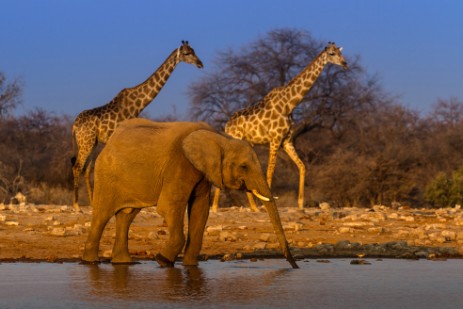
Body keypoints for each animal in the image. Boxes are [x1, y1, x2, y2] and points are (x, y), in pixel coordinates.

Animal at [72, 41, 203, 212]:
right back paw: (76, 205)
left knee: (86, 170)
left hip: (92, 143)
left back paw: (93, 203)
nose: (200, 64)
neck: (138, 104)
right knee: (77, 167)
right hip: (85, 142)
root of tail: (74, 125)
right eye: (187, 53)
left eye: (193, 50)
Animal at [82, 118, 300, 268]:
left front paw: (189, 266)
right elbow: (170, 206)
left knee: (126, 216)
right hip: (106, 176)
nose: (294, 266)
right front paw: (162, 261)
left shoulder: (203, 172)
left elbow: (200, 210)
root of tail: (109, 142)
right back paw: (90, 262)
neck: (219, 137)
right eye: (244, 167)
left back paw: (124, 263)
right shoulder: (180, 163)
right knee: (102, 215)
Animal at [212, 41, 346, 212]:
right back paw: (215, 208)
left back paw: (253, 208)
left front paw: (300, 204)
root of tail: (226, 125)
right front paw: (269, 204)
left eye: (340, 53)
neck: (289, 104)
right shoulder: (274, 139)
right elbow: (270, 171)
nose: (345, 64)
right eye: (331, 54)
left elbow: (302, 166)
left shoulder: (286, 141)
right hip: (234, 142)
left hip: (248, 144)